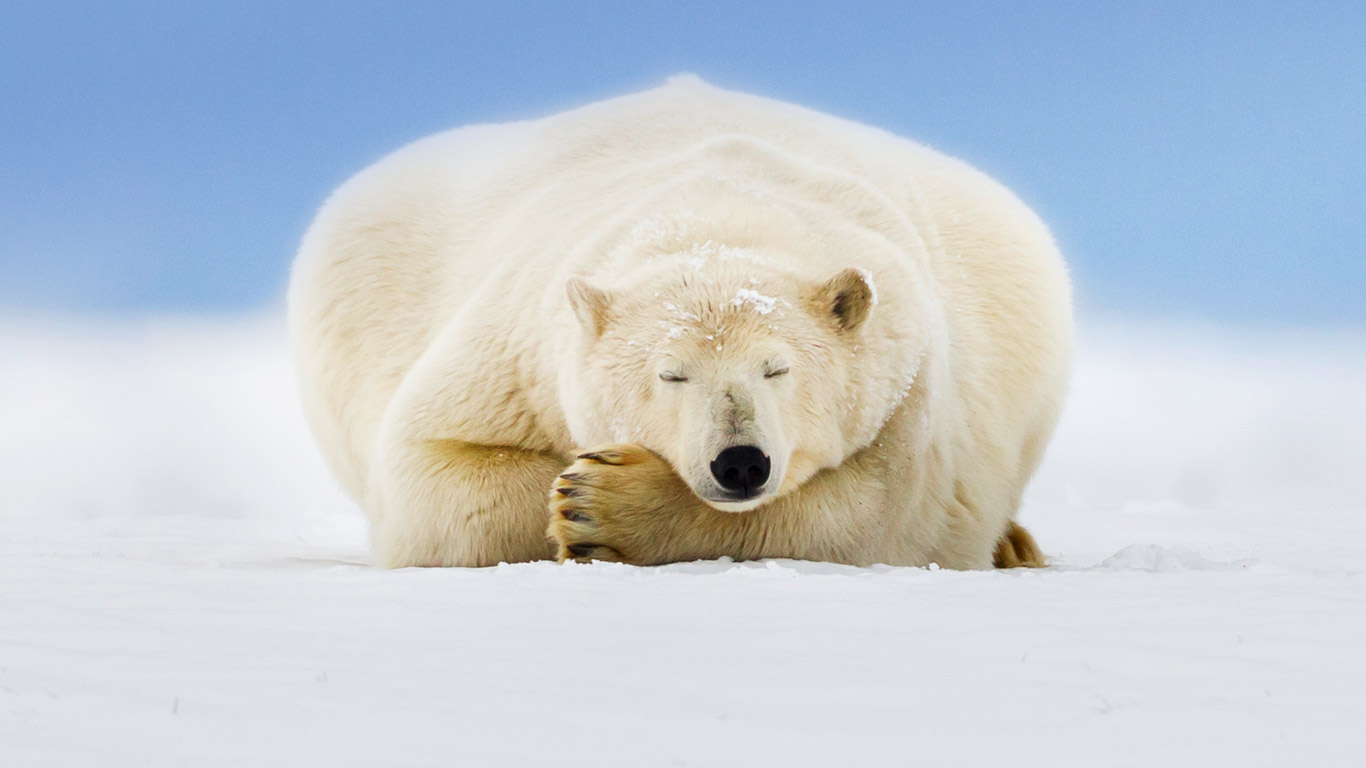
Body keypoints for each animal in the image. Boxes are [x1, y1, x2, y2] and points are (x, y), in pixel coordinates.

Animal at [288, 76, 1072, 569]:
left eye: (778, 369)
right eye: (671, 375)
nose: (740, 461)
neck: (718, 210)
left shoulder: (911, 383)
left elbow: (881, 515)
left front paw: (604, 505)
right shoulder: (516, 352)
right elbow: (430, 472)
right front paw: (573, 490)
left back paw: (1017, 545)